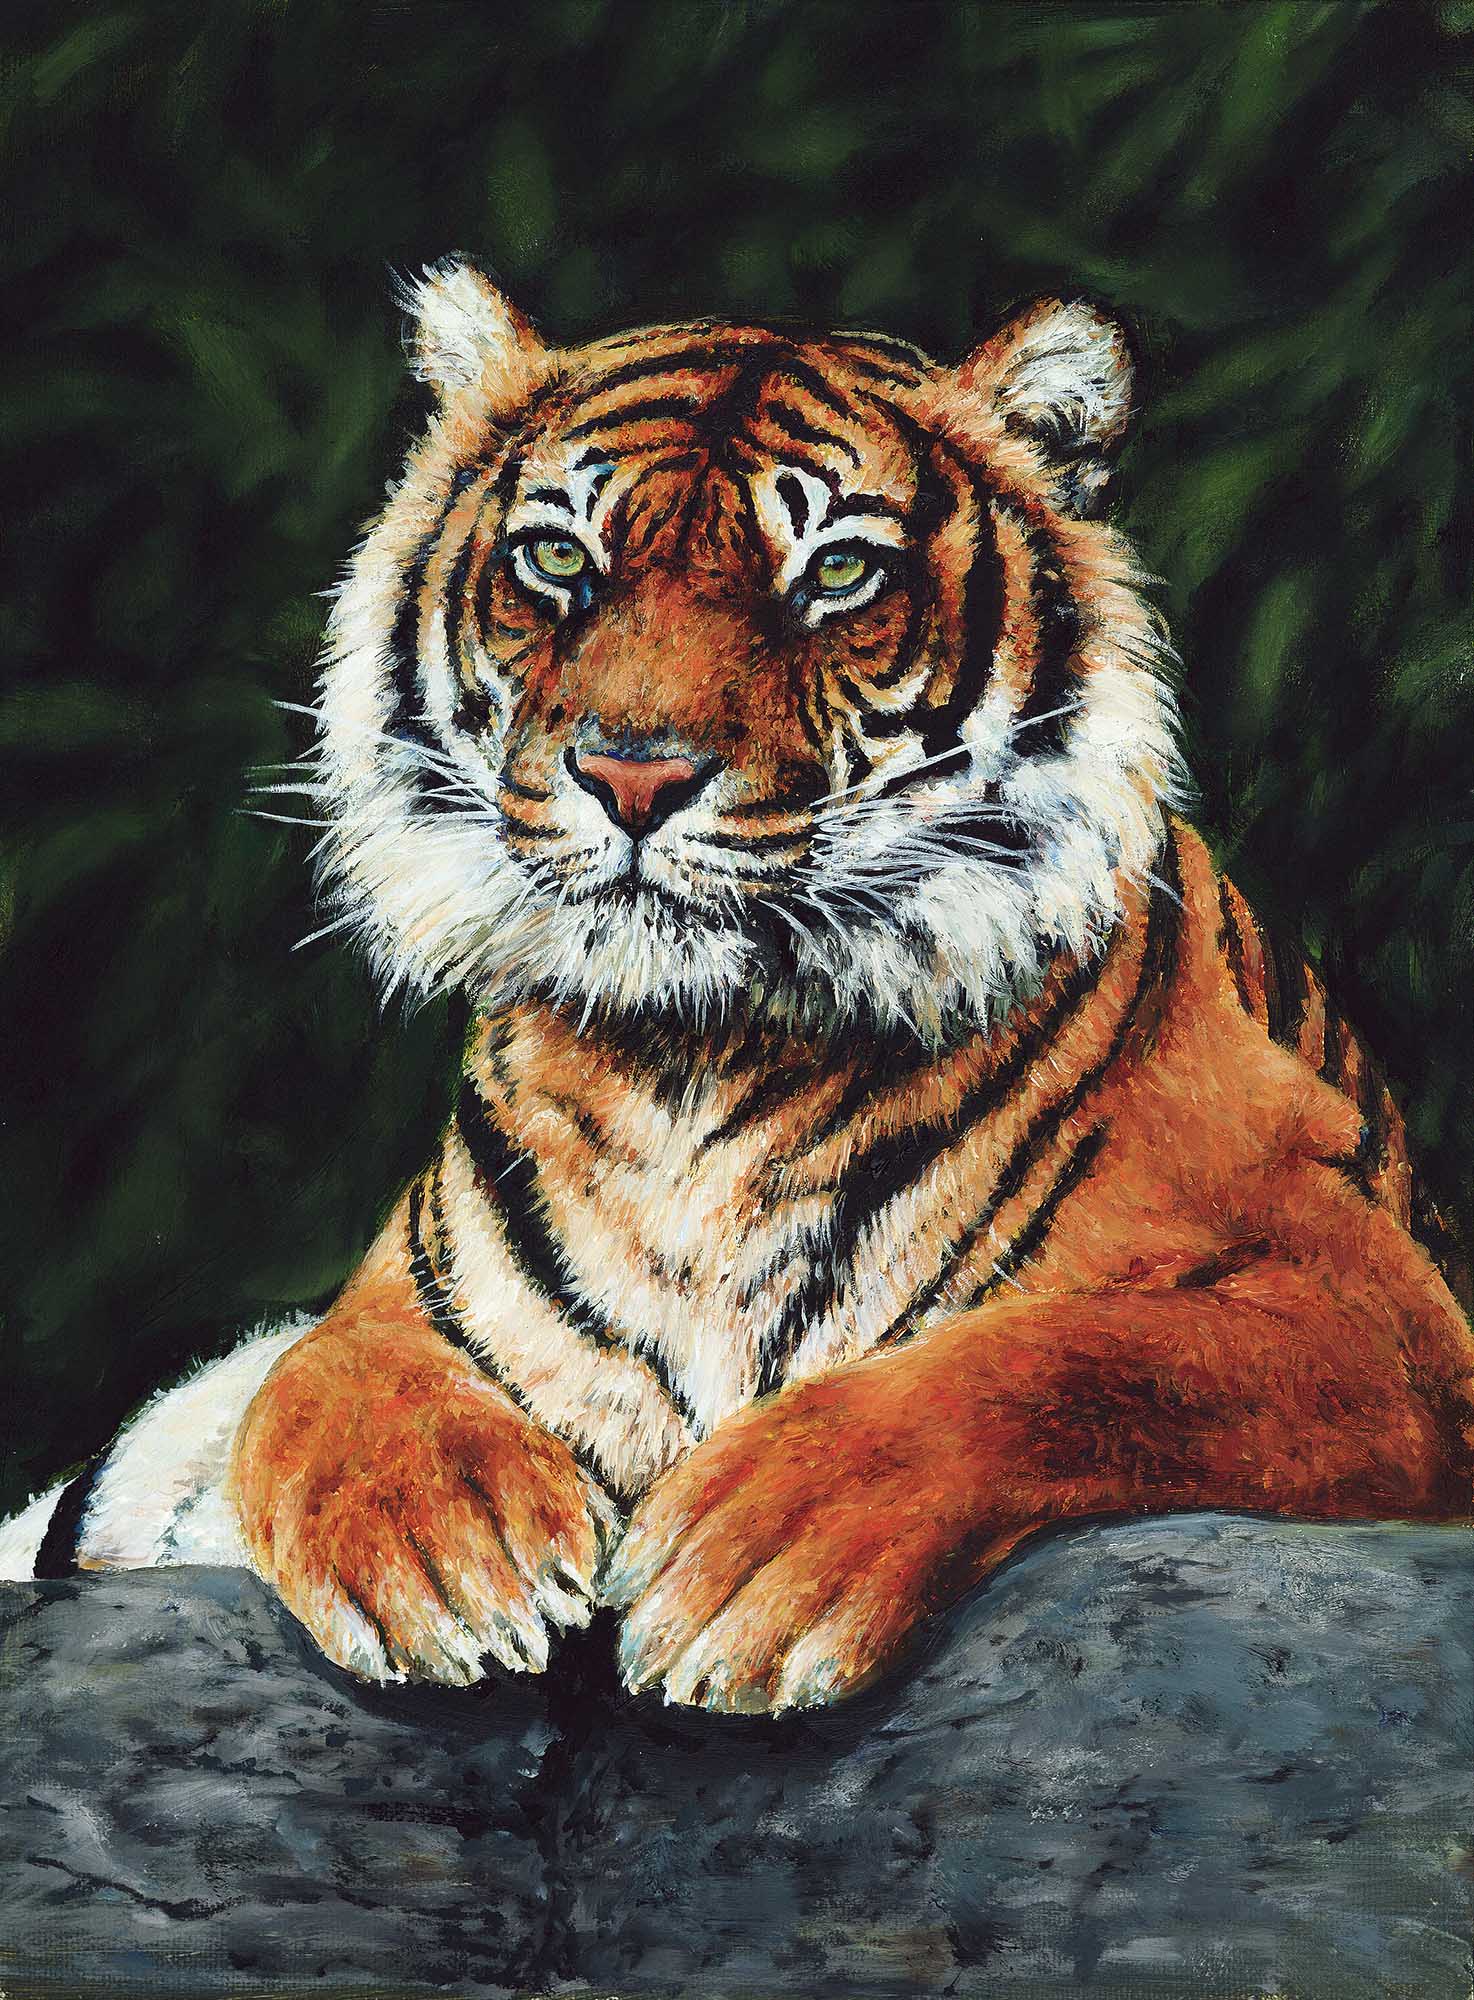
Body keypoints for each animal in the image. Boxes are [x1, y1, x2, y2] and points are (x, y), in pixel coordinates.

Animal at [4, 259, 1471, 1716]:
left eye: (837, 571)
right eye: (557, 558)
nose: (633, 776)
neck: (692, 1073)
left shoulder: (1370, 1313)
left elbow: (1069, 1358)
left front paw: (759, 1559)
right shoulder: (401, 1297)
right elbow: (318, 1382)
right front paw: (443, 1565)